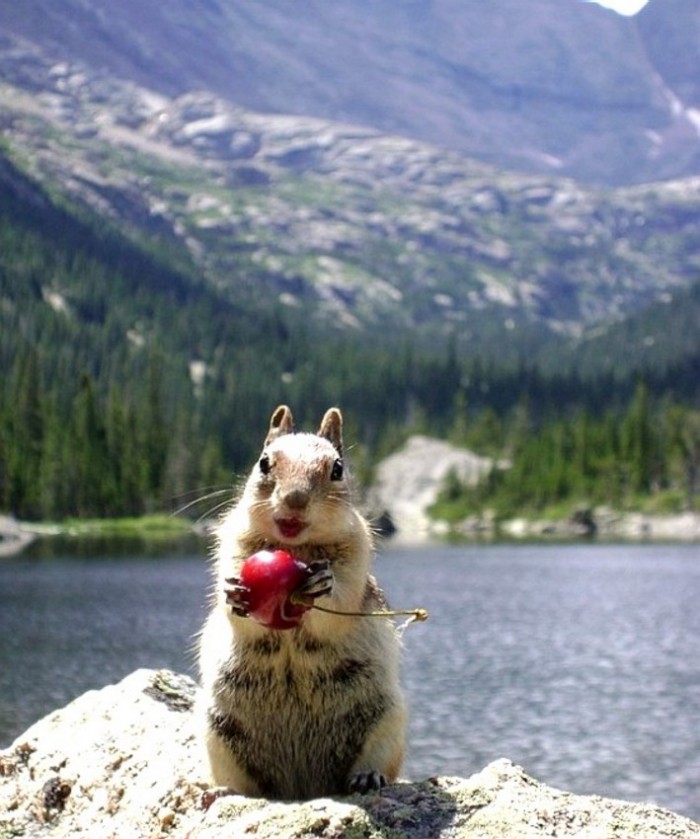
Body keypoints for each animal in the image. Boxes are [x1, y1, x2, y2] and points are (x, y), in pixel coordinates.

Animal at [197, 404, 406, 800]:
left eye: (337, 468)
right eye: (264, 462)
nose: (295, 499)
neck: (294, 547)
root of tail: (301, 788)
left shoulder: (356, 556)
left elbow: (340, 605)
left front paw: (322, 585)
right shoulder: (232, 543)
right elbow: (231, 596)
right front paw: (234, 594)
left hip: (389, 719)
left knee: (378, 759)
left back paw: (367, 778)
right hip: (216, 729)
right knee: (246, 784)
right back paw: (224, 791)